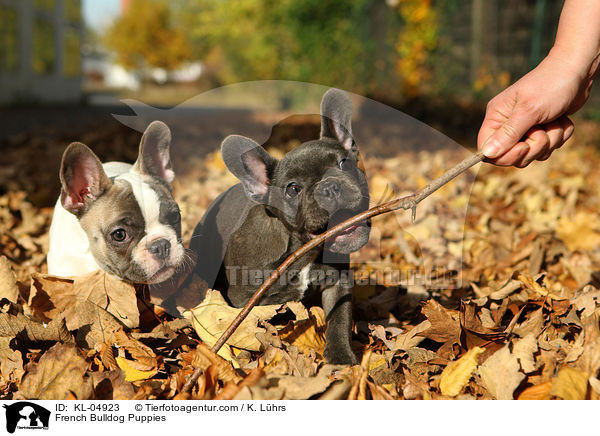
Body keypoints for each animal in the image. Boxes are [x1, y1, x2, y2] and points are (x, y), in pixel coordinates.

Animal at [191, 89, 370, 364]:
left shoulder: (338, 283)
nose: (329, 187)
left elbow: (339, 319)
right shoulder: (246, 299)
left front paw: (341, 356)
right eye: (293, 189)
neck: (301, 251)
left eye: (345, 164)